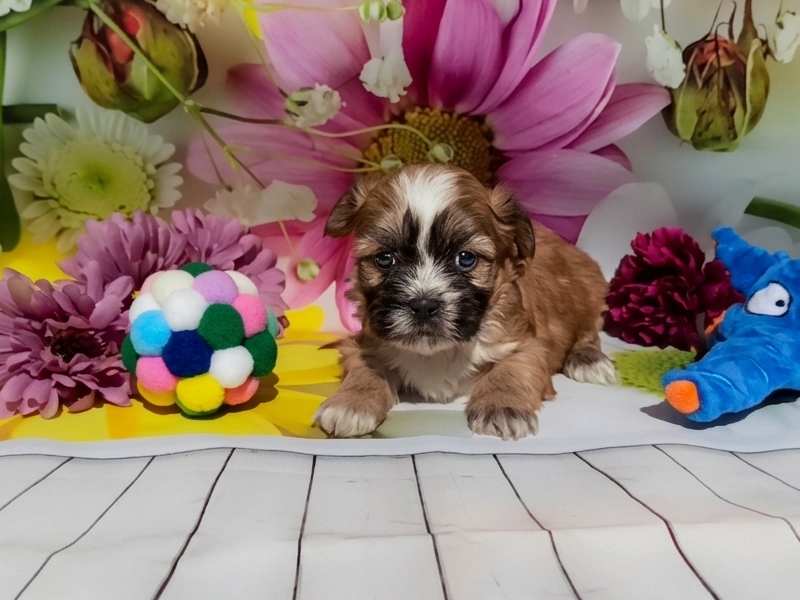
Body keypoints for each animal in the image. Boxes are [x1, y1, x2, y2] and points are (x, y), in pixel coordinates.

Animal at [313, 164, 615, 440]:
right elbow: (366, 368)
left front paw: (501, 407)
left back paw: (589, 361)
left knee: (589, 331)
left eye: (466, 258)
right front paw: (350, 404)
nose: (423, 305)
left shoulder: (528, 345)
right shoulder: (365, 343)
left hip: (590, 293)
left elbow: (512, 370)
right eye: (385, 259)